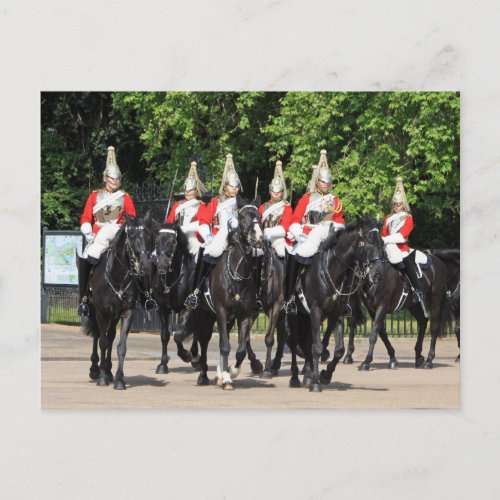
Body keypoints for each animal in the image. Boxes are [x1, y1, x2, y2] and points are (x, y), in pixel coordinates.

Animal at [78, 213, 154, 388]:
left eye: (149, 236)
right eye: (131, 235)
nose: (145, 266)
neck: (117, 277)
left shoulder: (127, 313)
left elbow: (121, 346)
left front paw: (119, 379)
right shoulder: (101, 313)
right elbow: (103, 342)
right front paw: (101, 377)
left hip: (113, 316)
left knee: (111, 335)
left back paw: (108, 371)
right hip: (94, 312)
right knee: (98, 335)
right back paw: (95, 370)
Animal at [195, 195, 266, 390]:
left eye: (260, 216)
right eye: (242, 217)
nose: (258, 239)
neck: (238, 272)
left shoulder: (244, 315)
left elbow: (240, 350)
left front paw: (231, 372)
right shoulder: (221, 311)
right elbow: (225, 345)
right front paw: (227, 378)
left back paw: (219, 373)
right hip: (201, 311)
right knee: (203, 339)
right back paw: (202, 373)